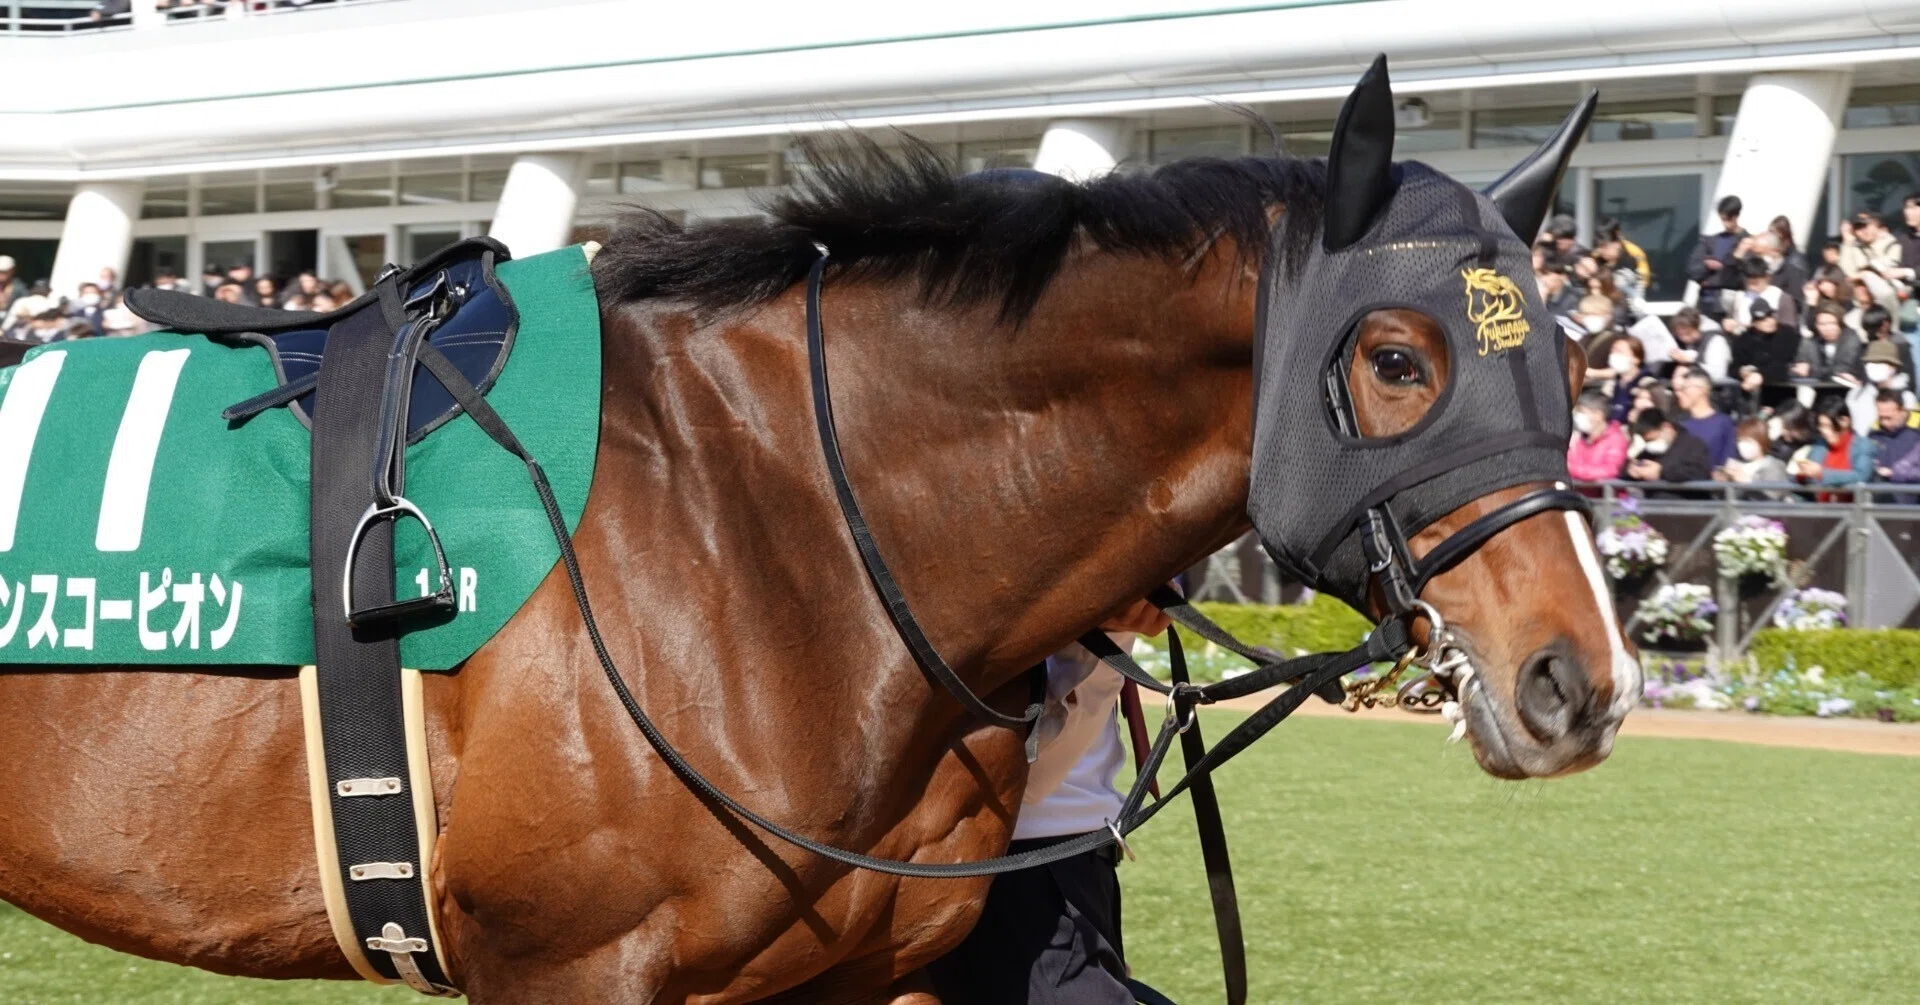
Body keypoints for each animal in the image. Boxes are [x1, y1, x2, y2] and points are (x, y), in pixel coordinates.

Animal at [0, 82, 1638, 1005]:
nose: (1582, 681)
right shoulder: (568, 968)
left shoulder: (858, 972)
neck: (773, 524)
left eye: (1565, 352)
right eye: (1397, 359)